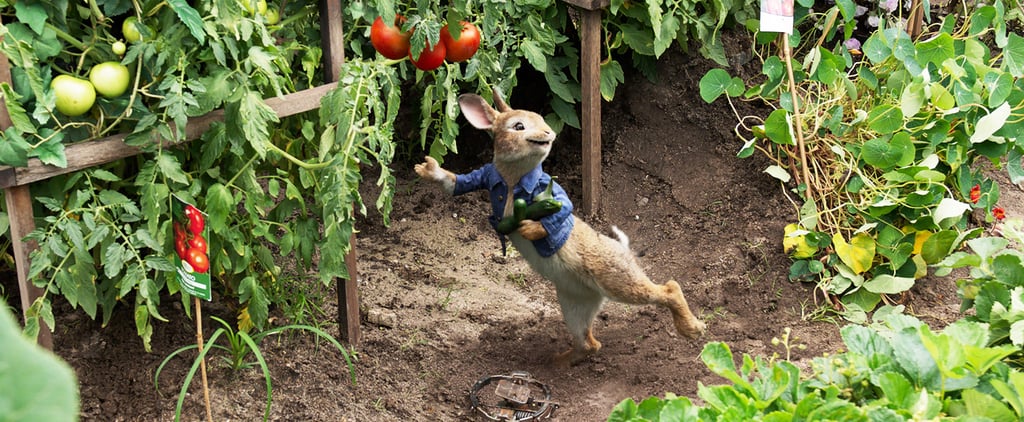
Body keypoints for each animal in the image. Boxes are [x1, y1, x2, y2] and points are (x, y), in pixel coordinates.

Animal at [414, 88, 706, 366]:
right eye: (518, 126)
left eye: (542, 119)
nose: (548, 134)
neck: (513, 181)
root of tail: (623, 250)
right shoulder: (486, 176)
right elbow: (459, 182)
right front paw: (427, 168)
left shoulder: (549, 193)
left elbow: (561, 208)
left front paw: (529, 229)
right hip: (574, 305)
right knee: (589, 344)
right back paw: (556, 364)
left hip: (616, 280)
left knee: (668, 289)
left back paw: (692, 329)